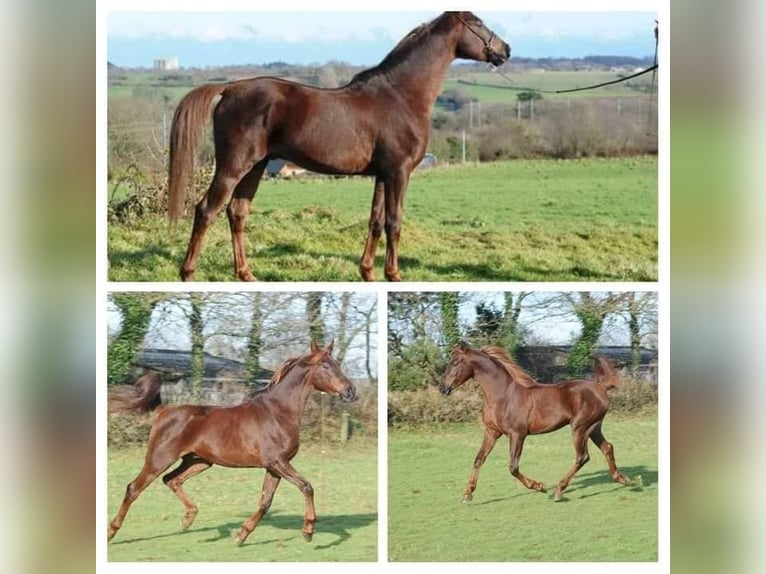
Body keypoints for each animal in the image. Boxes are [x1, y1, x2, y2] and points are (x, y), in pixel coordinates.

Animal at [106, 344, 358, 548]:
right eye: (325, 365)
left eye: (337, 364)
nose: (351, 391)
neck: (277, 412)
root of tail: (164, 410)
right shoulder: (277, 462)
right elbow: (307, 487)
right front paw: (308, 531)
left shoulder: (274, 467)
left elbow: (266, 502)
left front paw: (241, 535)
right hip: (159, 458)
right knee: (134, 488)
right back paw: (111, 532)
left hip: (199, 461)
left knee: (172, 480)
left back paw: (188, 518)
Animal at [171, 12, 512, 282]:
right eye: (478, 23)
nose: (505, 50)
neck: (400, 95)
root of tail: (230, 88)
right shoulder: (399, 171)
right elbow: (394, 222)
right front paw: (394, 275)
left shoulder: (382, 174)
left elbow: (376, 222)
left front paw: (368, 272)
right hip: (233, 166)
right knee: (206, 210)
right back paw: (188, 273)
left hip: (256, 166)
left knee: (237, 213)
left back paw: (246, 274)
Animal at [440, 346, 632, 504]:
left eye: (456, 362)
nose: (443, 388)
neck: (502, 396)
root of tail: (601, 387)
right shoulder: (492, 432)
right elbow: (479, 459)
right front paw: (467, 494)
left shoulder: (517, 434)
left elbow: (513, 467)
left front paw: (539, 486)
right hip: (593, 428)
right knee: (607, 447)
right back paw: (623, 479)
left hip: (580, 427)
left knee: (582, 456)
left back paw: (557, 491)